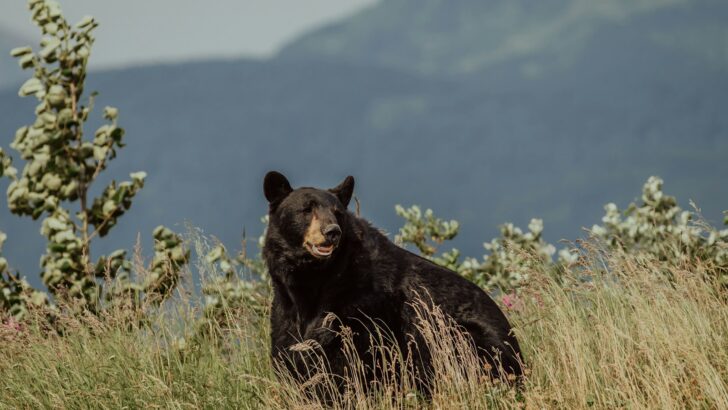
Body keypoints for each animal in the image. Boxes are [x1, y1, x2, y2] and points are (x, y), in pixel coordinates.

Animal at [262, 171, 523, 396]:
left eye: (338, 213)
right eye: (306, 210)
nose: (332, 231)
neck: (314, 279)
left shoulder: (360, 305)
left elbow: (348, 358)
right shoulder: (285, 308)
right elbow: (289, 351)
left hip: (462, 336)